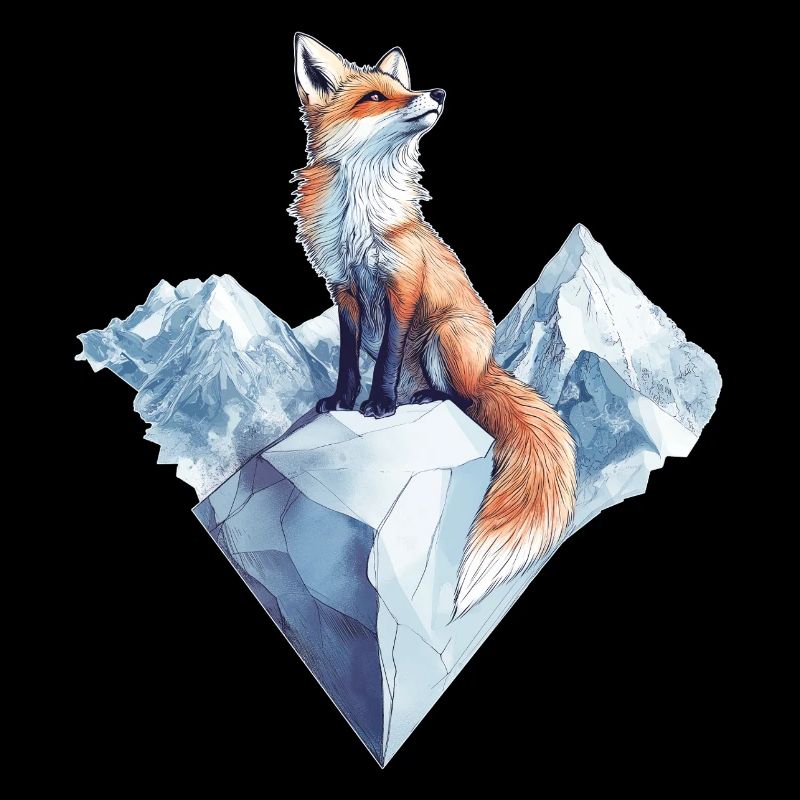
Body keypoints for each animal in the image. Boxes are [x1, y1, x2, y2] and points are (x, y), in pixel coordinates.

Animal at [289, 33, 577, 616]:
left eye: (405, 88)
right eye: (377, 97)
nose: (439, 92)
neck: (359, 216)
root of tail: (490, 364)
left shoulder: (402, 286)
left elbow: (386, 359)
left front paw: (379, 406)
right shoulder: (345, 290)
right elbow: (349, 359)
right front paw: (342, 401)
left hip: (447, 335)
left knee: (463, 399)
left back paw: (423, 398)